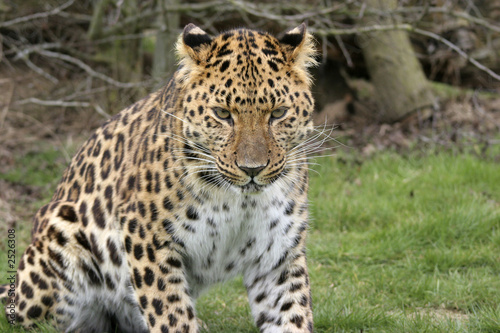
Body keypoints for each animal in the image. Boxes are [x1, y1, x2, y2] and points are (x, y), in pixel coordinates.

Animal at [0, 22, 316, 330]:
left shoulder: (277, 253)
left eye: (279, 113)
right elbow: (171, 314)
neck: (240, 201)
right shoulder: (147, 238)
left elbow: (291, 314)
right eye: (222, 114)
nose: (252, 169)